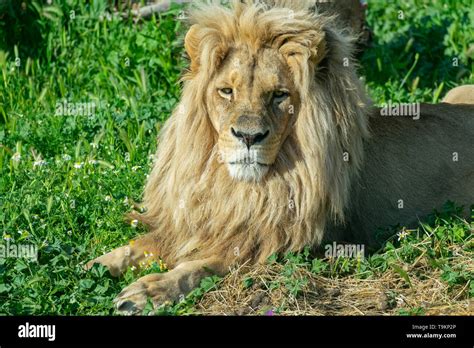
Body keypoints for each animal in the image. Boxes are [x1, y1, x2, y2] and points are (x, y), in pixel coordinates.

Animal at [85, 0, 474, 316]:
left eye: (279, 95)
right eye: (226, 91)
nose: (248, 137)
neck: (237, 187)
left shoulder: (284, 243)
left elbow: (203, 265)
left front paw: (150, 290)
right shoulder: (200, 222)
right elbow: (142, 245)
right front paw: (97, 264)